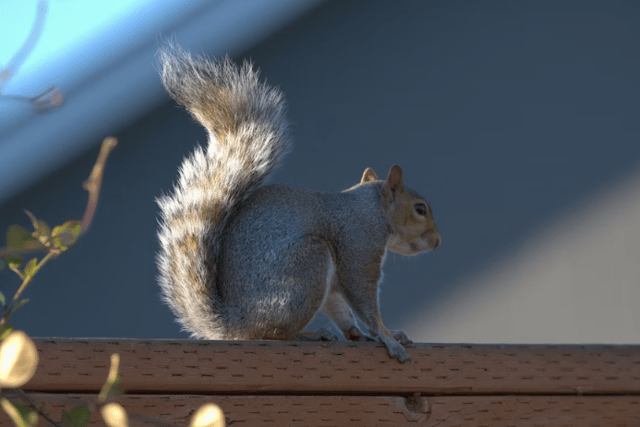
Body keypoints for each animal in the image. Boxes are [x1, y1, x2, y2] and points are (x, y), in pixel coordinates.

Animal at [156, 43, 441, 363]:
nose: (438, 241)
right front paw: (388, 338)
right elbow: (364, 301)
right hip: (307, 264)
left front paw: (369, 334)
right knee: (268, 333)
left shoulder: (339, 278)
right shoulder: (358, 246)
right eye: (420, 209)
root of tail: (232, 323)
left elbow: (341, 307)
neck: (371, 210)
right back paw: (312, 334)